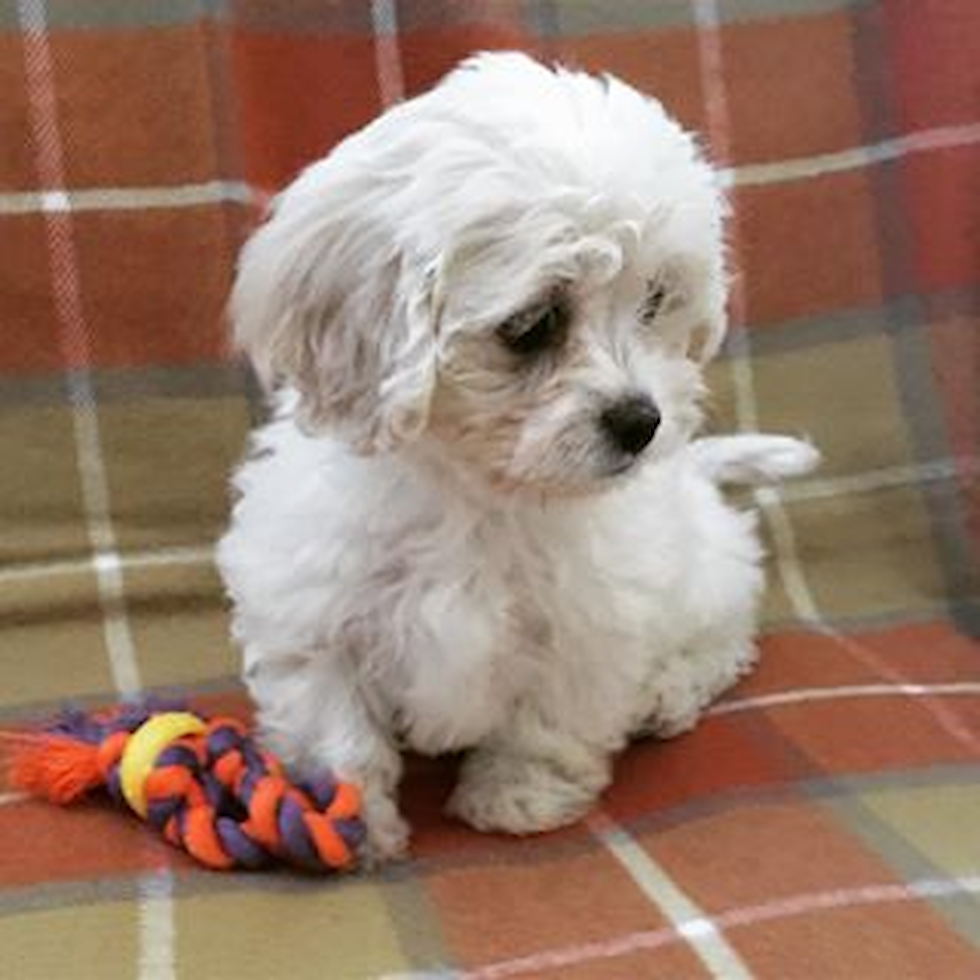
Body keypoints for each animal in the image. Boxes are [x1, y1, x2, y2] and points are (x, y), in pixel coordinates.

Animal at [216, 49, 820, 860]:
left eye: (654, 301)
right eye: (533, 324)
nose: (642, 421)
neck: (477, 497)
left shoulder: (587, 629)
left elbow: (547, 723)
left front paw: (516, 798)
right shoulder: (311, 617)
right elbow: (335, 728)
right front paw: (353, 821)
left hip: (712, 580)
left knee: (723, 643)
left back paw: (667, 694)